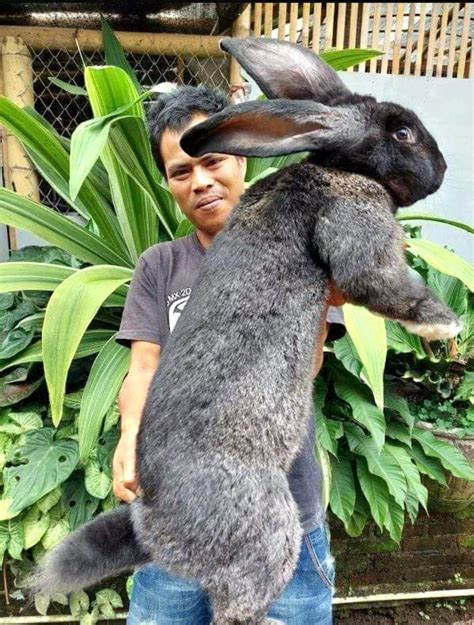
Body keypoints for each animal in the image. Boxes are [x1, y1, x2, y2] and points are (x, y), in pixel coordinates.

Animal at [31, 37, 462, 624]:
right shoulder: (357, 232)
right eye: (402, 133)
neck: (337, 166)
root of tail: (152, 529)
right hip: (268, 534)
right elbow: (385, 284)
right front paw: (445, 325)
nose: (442, 168)